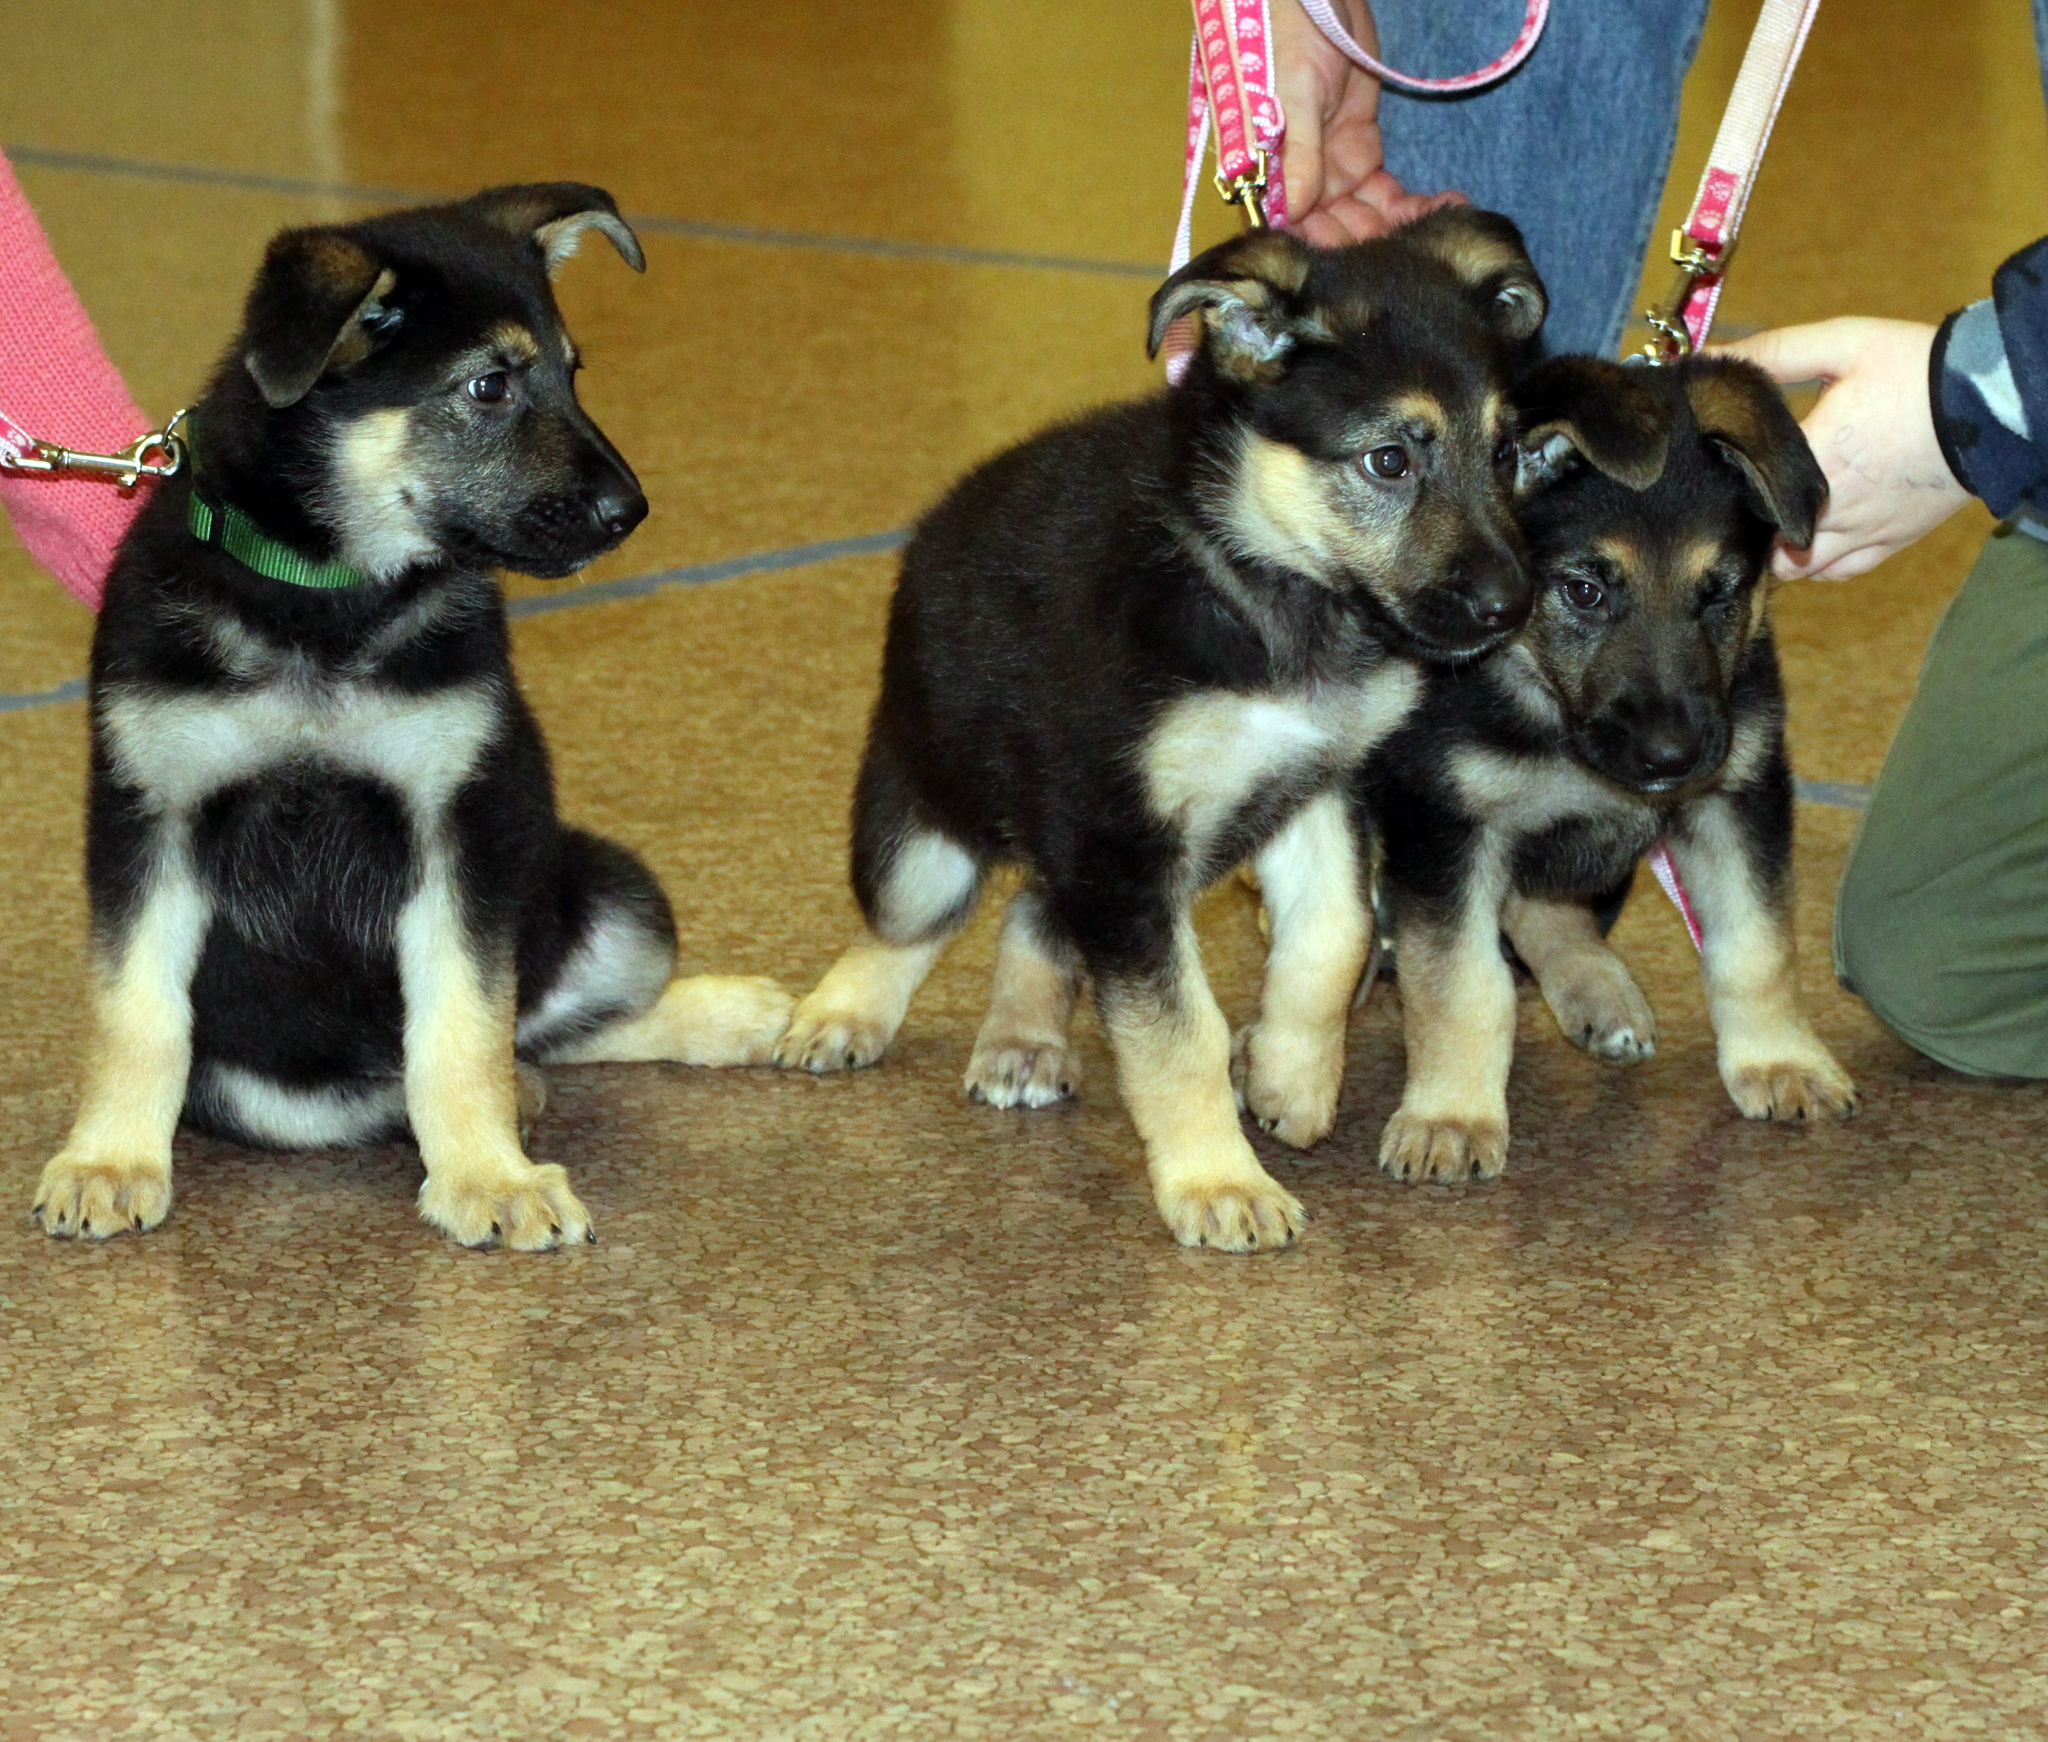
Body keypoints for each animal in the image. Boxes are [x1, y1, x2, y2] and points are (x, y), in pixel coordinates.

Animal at [37, 187, 798, 1252]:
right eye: (488, 387)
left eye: (571, 373)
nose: (631, 511)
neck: (326, 600)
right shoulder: (152, 821)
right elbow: (135, 1017)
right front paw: (108, 1159)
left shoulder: (460, 827)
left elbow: (462, 1026)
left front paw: (490, 1175)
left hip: (612, 887)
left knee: (550, 1018)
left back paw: (712, 1019)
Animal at [774, 214, 1540, 1252]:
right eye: (1390, 461)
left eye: (1506, 454)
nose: (1512, 607)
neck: (1258, 586)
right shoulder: (1117, 835)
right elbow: (1180, 1034)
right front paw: (1219, 1181)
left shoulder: (1312, 785)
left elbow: (1335, 935)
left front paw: (1291, 1078)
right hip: (929, 827)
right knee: (908, 923)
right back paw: (843, 1011)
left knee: (1034, 909)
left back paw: (1023, 1039)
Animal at [1310, 354, 1859, 1187]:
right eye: (1585, 591)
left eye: (1720, 592)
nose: (1672, 756)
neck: (1545, 710)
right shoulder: (1445, 825)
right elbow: (1459, 985)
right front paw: (1451, 1115)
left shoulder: (1738, 799)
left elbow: (1757, 944)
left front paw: (1778, 1061)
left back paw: (1597, 989)